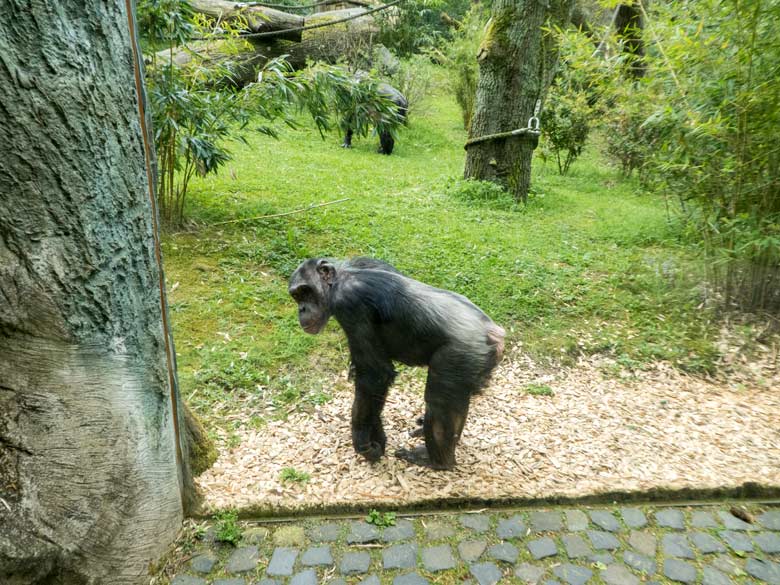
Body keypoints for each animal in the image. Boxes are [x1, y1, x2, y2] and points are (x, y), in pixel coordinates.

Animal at [288, 256, 506, 470]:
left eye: (305, 291)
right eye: (296, 296)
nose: (302, 309)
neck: (341, 276)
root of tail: (494, 332)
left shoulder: (350, 304)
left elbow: (374, 375)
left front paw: (362, 441)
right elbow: (369, 382)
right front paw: (377, 437)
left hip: (460, 353)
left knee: (440, 401)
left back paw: (436, 461)